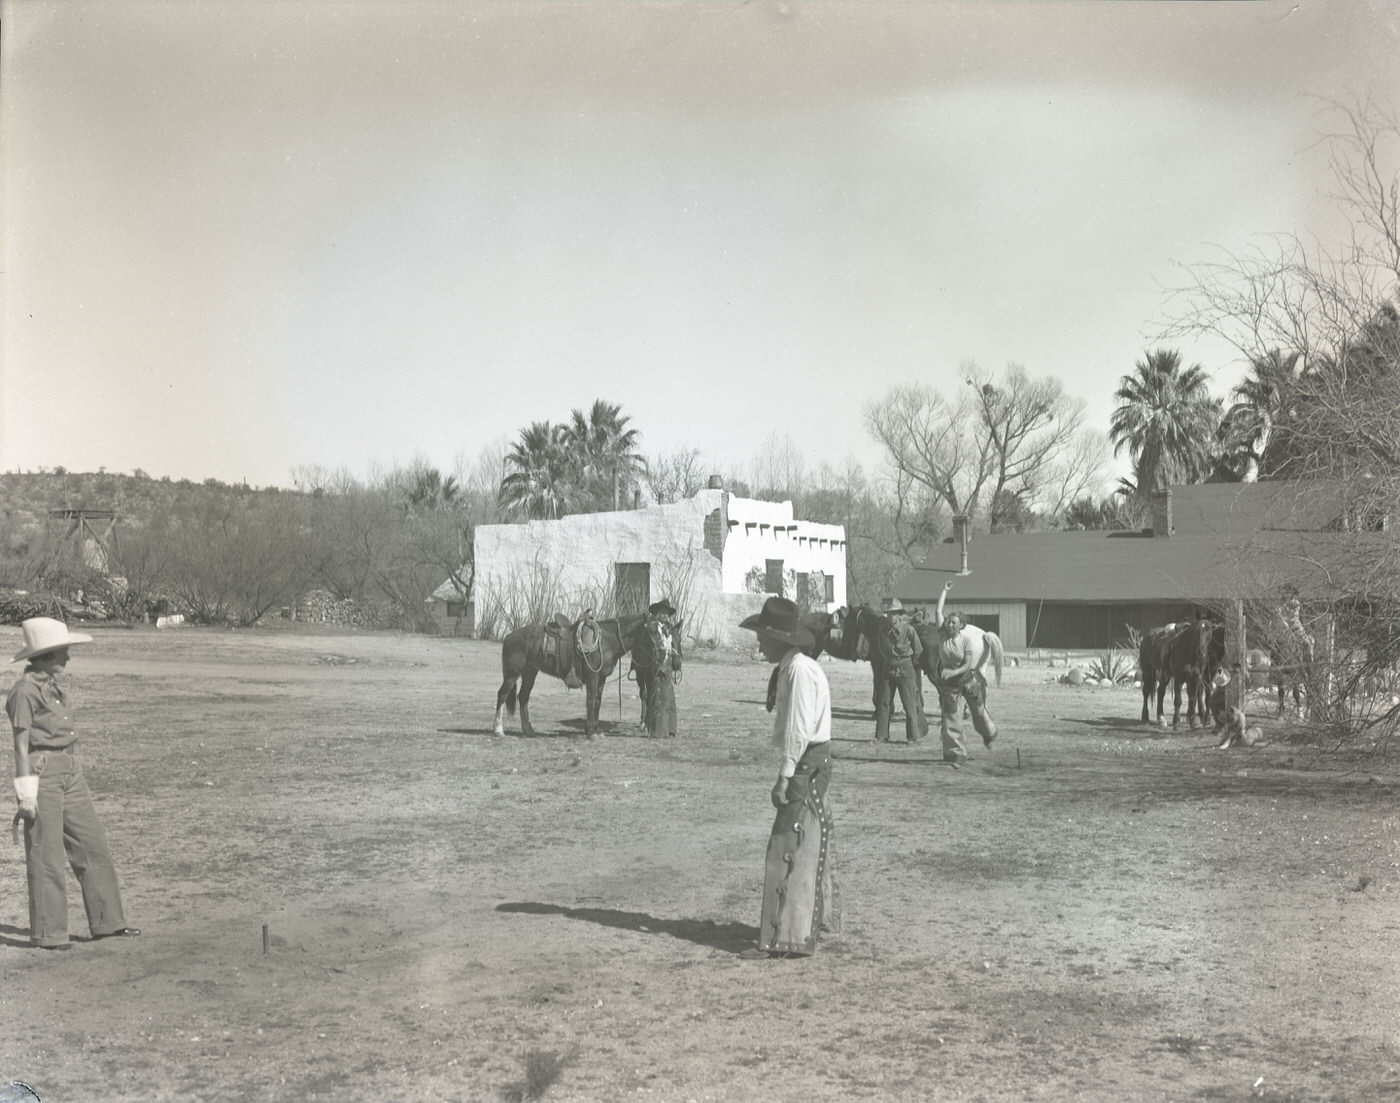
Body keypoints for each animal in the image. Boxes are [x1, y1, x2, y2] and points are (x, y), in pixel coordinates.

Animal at [498, 615, 649, 739]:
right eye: (653, 628)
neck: (606, 639)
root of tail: (509, 636)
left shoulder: (601, 678)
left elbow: (597, 702)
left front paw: (595, 730)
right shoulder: (593, 677)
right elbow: (591, 701)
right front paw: (591, 733)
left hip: (530, 672)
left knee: (523, 697)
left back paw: (528, 730)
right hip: (512, 674)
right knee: (502, 694)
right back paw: (498, 730)